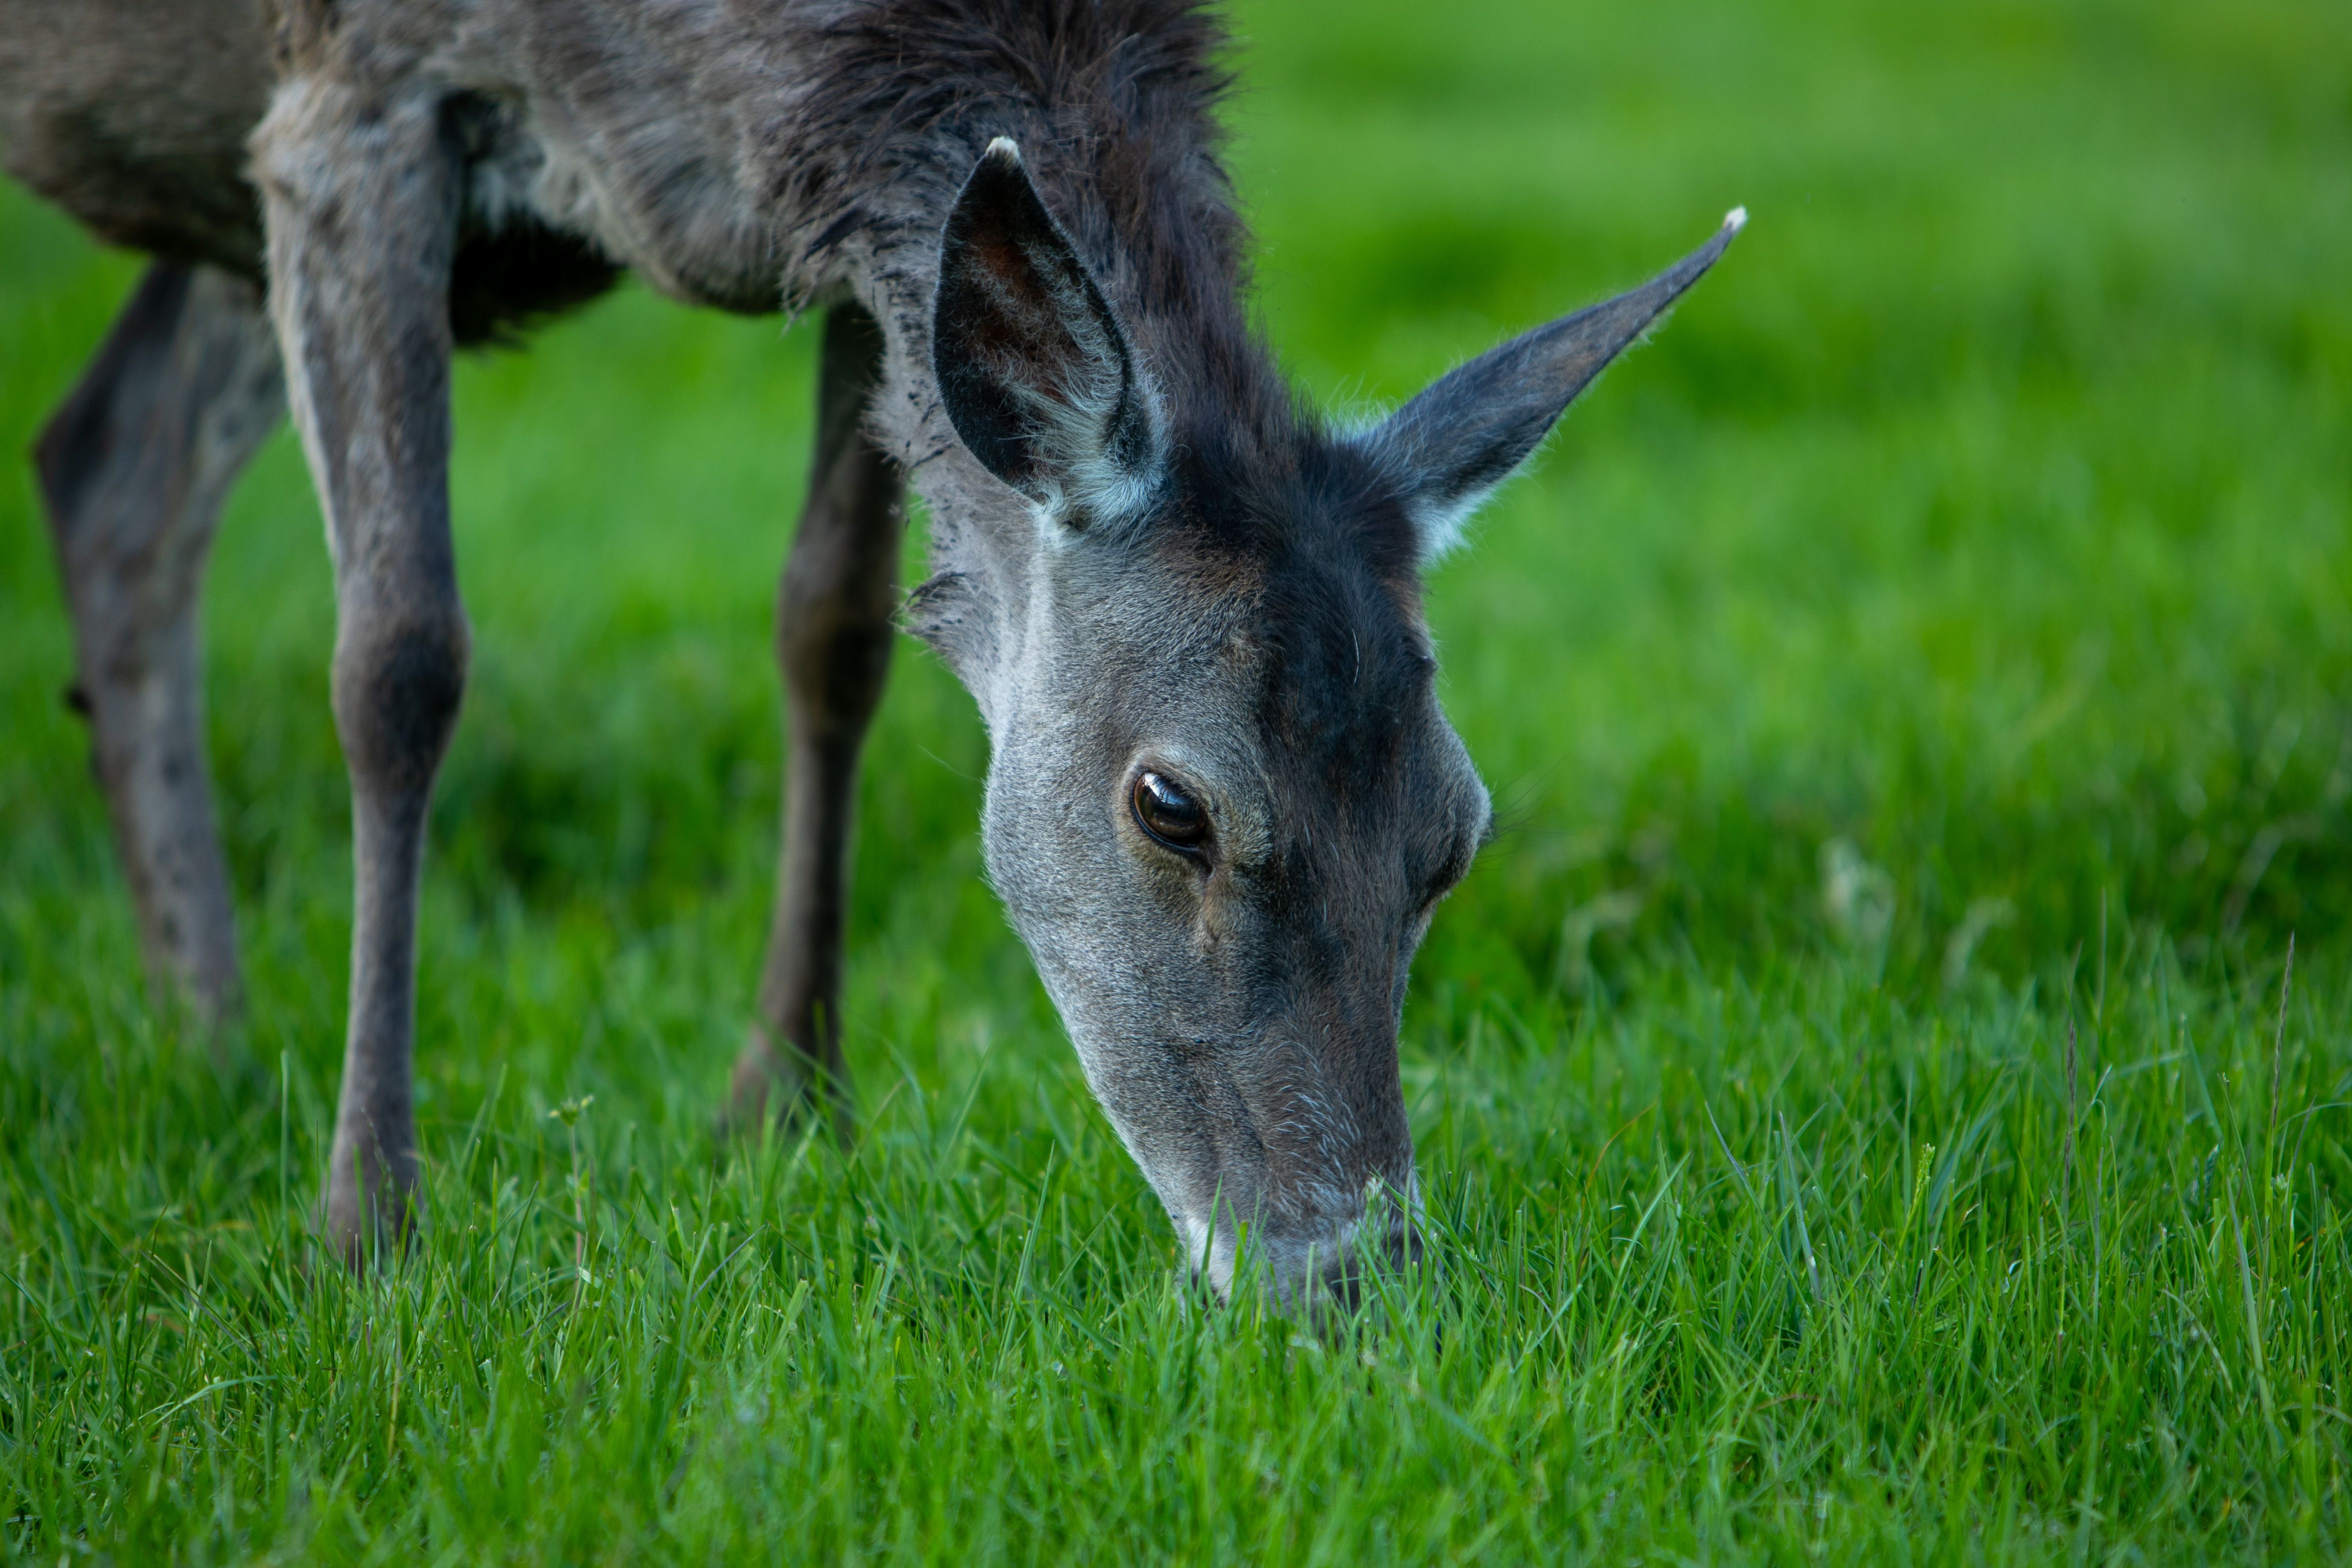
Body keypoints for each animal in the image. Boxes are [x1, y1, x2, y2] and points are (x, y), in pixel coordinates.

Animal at [2, 0, 1739, 1307]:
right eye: (1171, 804)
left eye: (1453, 834)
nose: (1349, 1281)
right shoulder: (345, 95)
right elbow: (399, 659)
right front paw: (367, 1222)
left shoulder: (839, 243)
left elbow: (831, 624)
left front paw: (782, 1101)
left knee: (109, 461)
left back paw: (213, 1041)